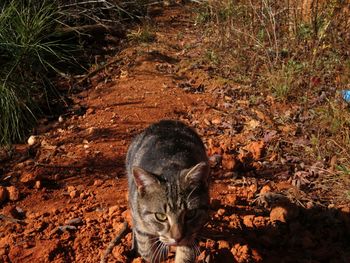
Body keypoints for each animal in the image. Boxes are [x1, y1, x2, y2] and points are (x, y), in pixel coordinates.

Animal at [126, 120, 211, 262]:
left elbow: (185, 254)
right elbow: (148, 252)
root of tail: (167, 121)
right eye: (160, 216)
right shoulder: (141, 226)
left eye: (191, 214)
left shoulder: (192, 232)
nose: (177, 238)